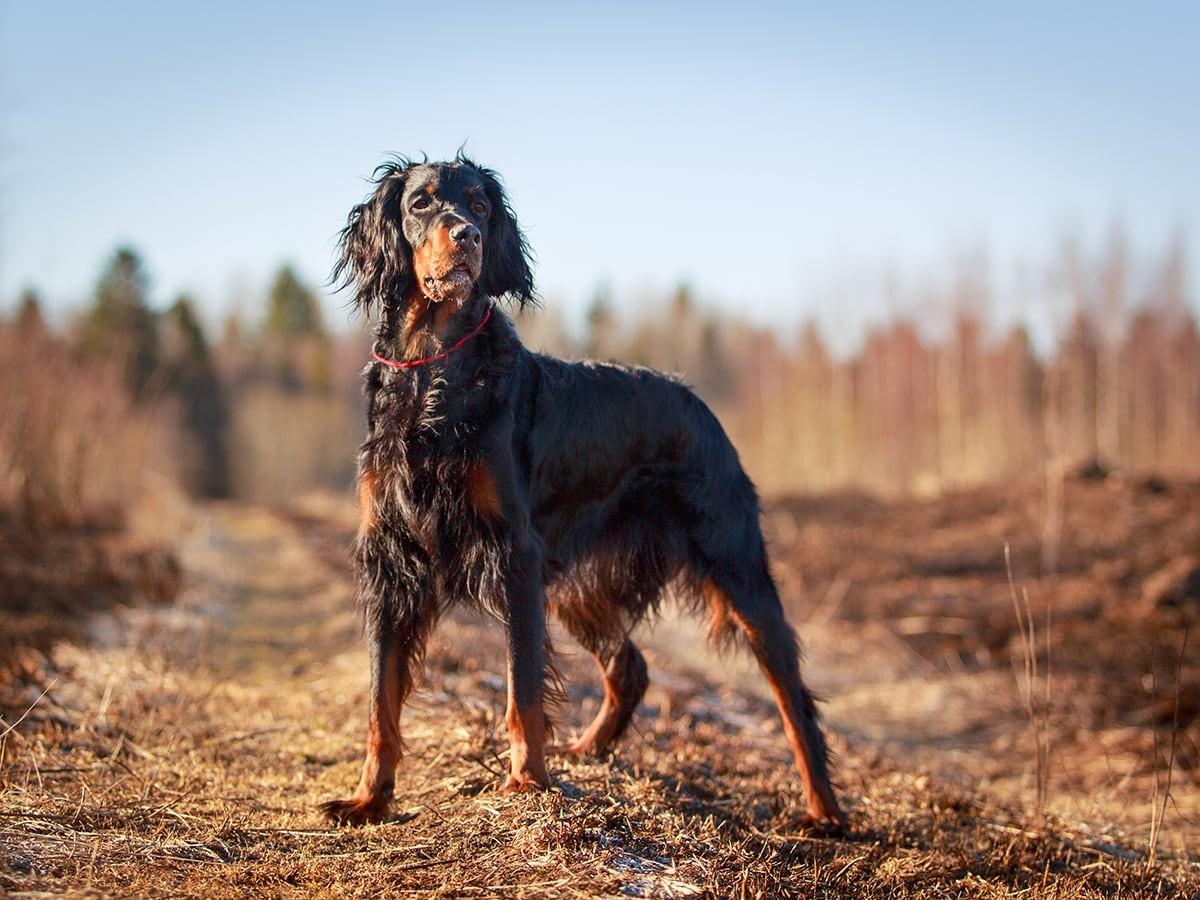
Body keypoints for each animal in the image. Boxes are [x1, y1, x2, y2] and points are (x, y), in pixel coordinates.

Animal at [319, 154, 844, 830]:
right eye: (421, 203)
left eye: (481, 206)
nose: (468, 236)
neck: (434, 369)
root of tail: (697, 401)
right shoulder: (390, 558)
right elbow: (380, 702)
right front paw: (369, 799)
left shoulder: (515, 554)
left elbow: (521, 687)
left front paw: (526, 784)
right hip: (574, 588)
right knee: (631, 666)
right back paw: (588, 749)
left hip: (735, 567)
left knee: (792, 697)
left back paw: (825, 811)